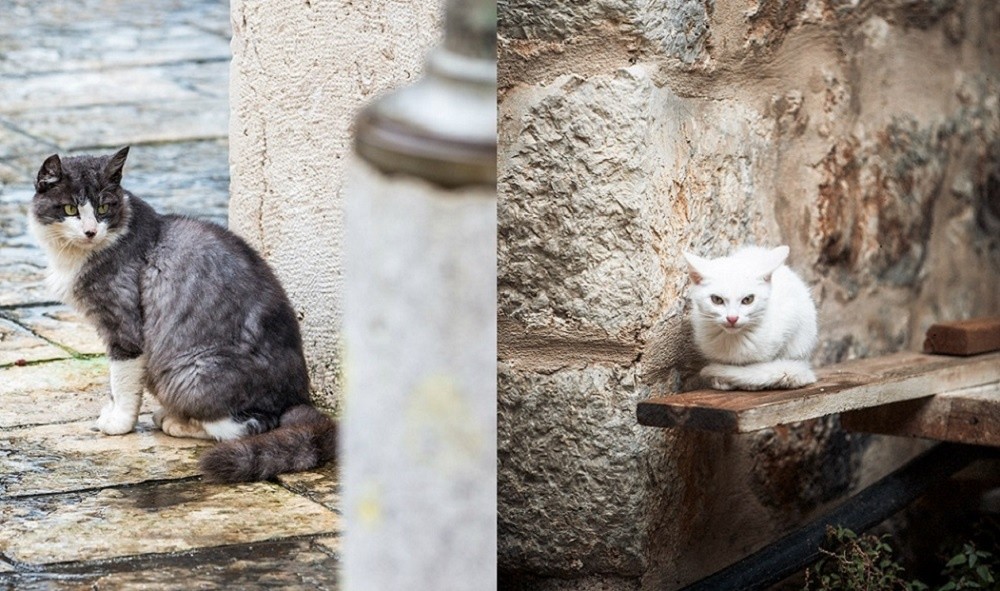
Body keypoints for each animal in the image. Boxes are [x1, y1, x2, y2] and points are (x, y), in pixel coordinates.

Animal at [29, 147, 336, 480]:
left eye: (103, 207)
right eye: (70, 208)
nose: (90, 231)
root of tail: (298, 400)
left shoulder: (124, 327)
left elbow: (121, 382)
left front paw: (118, 423)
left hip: (188, 372)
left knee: (245, 427)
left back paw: (177, 422)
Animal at [684, 246, 816, 394]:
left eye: (748, 299)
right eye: (717, 300)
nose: (732, 318)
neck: (733, 340)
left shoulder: (790, 317)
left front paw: (748, 381)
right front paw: (721, 381)